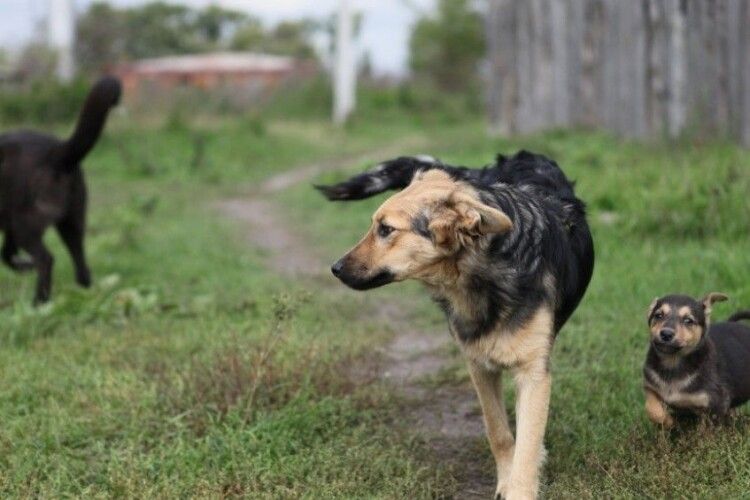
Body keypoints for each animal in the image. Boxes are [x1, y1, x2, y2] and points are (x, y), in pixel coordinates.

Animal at [0, 77, 120, 304]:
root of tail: (57, 152)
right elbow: (7, 254)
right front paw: (23, 265)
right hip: (71, 223)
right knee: (82, 269)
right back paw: (84, 299)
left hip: (26, 224)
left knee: (46, 259)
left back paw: (38, 303)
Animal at [318, 152, 592, 500]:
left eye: (386, 229)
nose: (335, 268)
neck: (483, 276)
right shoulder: (478, 364)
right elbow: (498, 431)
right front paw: (505, 479)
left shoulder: (533, 373)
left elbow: (526, 448)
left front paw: (520, 484)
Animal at [644, 292, 750, 430]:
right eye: (658, 315)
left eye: (688, 320)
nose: (666, 334)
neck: (673, 362)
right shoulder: (651, 387)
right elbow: (652, 409)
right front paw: (669, 422)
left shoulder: (717, 403)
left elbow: (708, 429)